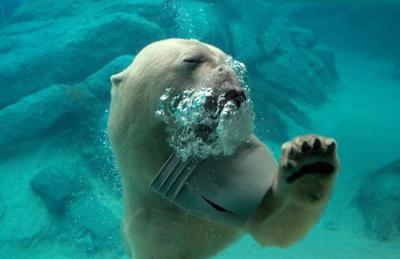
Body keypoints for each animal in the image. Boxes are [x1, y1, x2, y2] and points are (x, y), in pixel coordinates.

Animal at [108, 39, 340, 259]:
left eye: (226, 58)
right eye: (192, 59)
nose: (227, 69)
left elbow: (275, 225)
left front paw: (309, 160)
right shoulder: (151, 223)